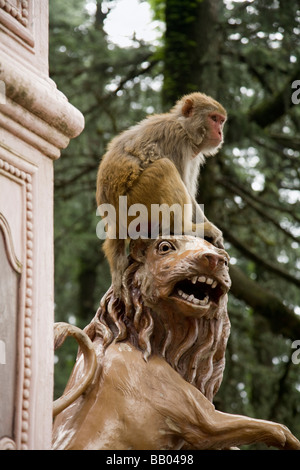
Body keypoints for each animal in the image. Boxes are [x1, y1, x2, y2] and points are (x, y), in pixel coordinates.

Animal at [97, 90, 226, 292]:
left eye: (221, 121)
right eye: (214, 119)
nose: (220, 132)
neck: (184, 127)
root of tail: (114, 222)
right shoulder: (177, 140)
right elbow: (184, 185)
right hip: (135, 203)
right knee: (164, 167)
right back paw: (183, 227)